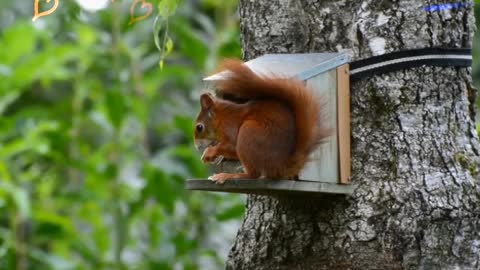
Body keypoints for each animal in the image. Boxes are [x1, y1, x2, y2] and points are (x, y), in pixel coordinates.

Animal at [193, 59, 328, 185]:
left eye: (199, 127)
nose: (197, 147)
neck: (222, 117)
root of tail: (281, 166)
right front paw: (210, 156)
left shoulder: (230, 126)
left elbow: (231, 145)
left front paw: (210, 152)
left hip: (249, 133)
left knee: (253, 174)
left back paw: (229, 175)